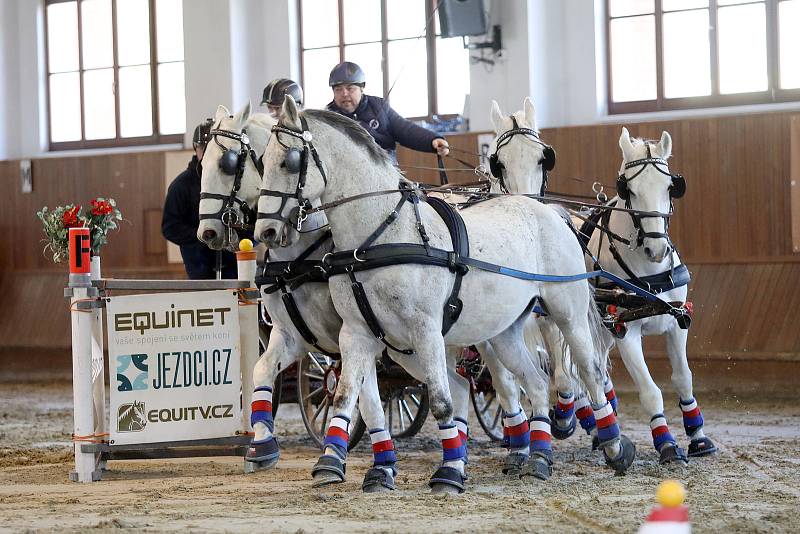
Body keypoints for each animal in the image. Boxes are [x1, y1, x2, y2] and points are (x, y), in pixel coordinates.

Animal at [253, 96, 636, 494]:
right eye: (261, 161)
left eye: (289, 161)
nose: (265, 231)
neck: (379, 234)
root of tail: (548, 210)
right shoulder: (356, 333)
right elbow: (347, 395)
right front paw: (334, 464)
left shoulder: (426, 331)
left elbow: (441, 402)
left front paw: (449, 471)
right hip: (501, 331)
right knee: (534, 381)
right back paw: (538, 458)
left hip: (566, 312)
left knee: (588, 372)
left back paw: (613, 446)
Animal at [494, 101, 720, 464]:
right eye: (628, 189)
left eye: (670, 186)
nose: (656, 248)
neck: (648, 273)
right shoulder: (626, 331)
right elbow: (650, 391)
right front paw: (667, 444)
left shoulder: (677, 322)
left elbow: (684, 379)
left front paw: (698, 437)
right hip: (567, 317)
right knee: (569, 365)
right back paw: (569, 416)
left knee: (596, 367)